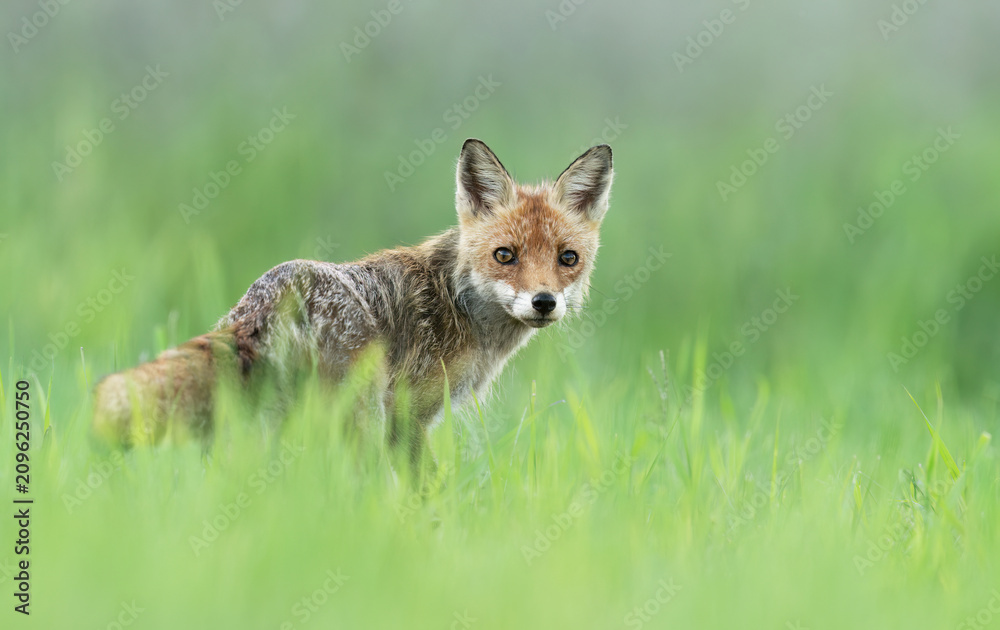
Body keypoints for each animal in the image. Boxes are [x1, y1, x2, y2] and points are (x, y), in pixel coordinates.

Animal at [93, 139, 613, 464]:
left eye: (567, 258)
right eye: (505, 255)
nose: (543, 302)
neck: (456, 303)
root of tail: (272, 288)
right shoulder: (406, 417)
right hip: (359, 418)